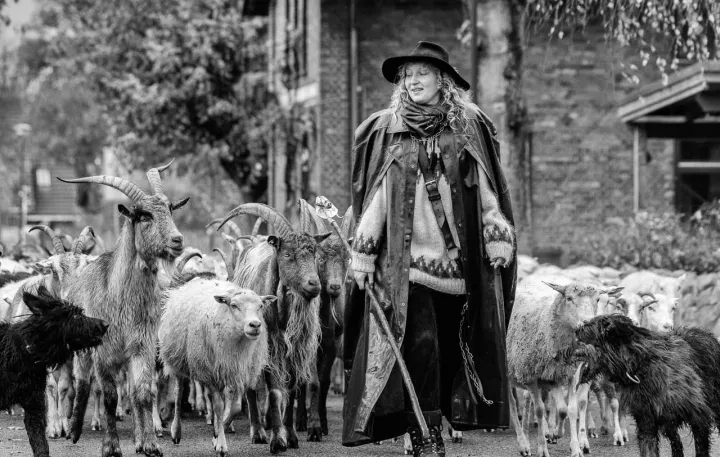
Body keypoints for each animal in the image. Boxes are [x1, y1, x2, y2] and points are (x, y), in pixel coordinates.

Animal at [59, 160, 188, 456]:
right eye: (143, 216)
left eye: (170, 209)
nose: (177, 240)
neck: (120, 299)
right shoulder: (103, 350)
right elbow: (108, 396)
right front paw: (111, 446)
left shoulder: (142, 345)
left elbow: (142, 394)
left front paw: (151, 443)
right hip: (84, 349)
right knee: (82, 381)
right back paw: (73, 430)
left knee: (131, 392)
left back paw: (139, 439)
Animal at [217, 202, 330, 452]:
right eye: (287, 254)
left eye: (314, 253)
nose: (314, 284)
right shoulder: (270, 350)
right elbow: (275, 392)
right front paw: (278, 441)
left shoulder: (295, 351)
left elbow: (293, 389)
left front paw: (292, 436)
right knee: (251, 388)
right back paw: (258, 432)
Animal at [576, 314, 720, 456]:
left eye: (585, 330)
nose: (575, 331)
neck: (639, 364)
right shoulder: (646, 423)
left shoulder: (699, 417)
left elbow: (701, 448)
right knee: (676, 442)